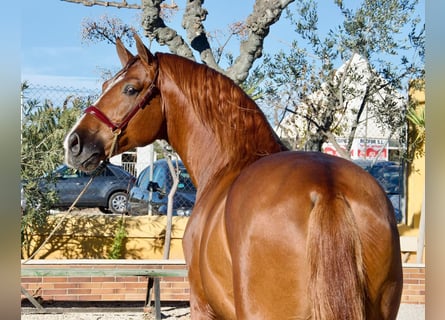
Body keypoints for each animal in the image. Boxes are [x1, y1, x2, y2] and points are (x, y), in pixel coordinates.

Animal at [65, 33, 402, 318]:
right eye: (106, 84)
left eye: (130, 89)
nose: (74, 143)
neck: (228, 163)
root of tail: (327, 188)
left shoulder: (203, 306)